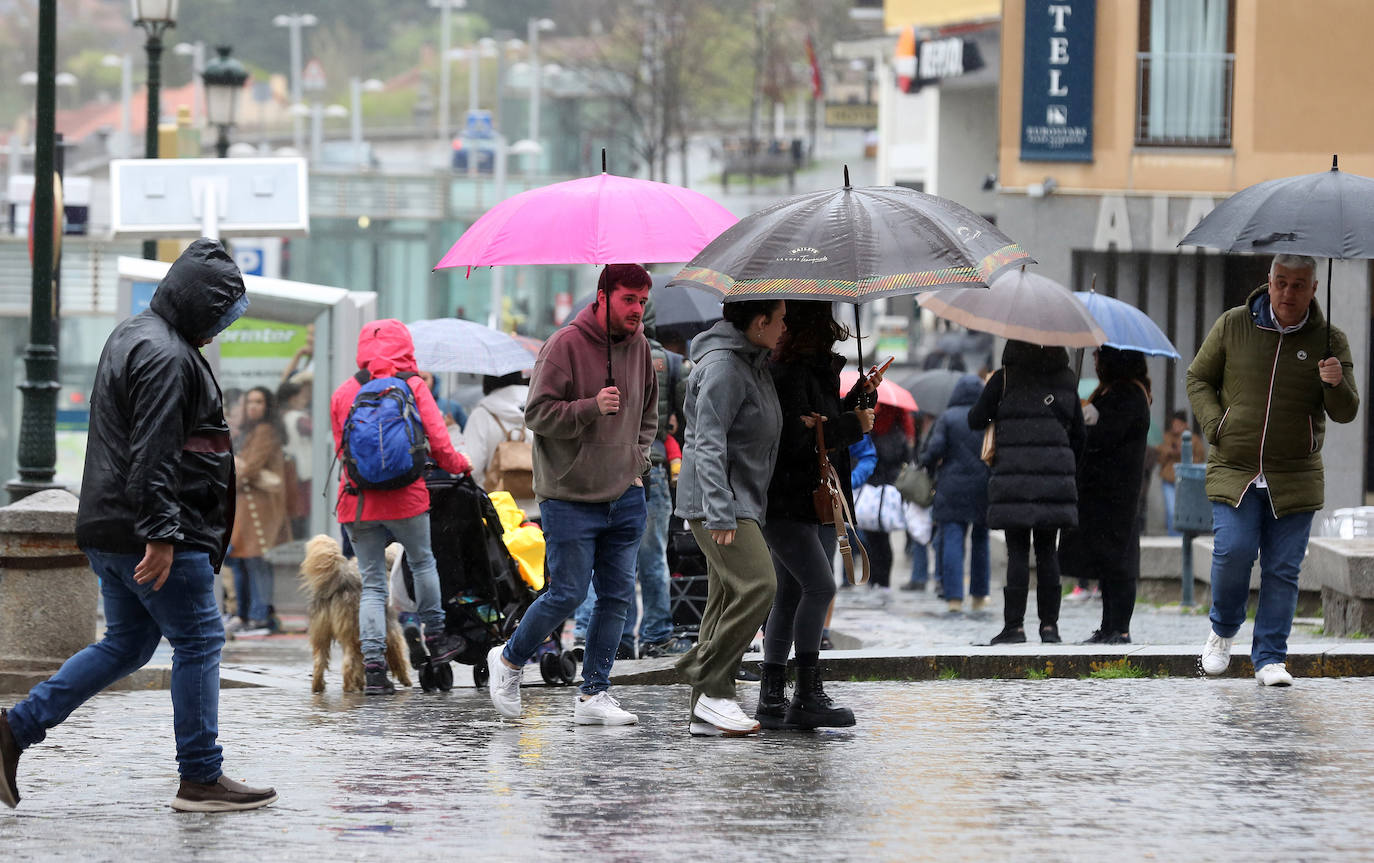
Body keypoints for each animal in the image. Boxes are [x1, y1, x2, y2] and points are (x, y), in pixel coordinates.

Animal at [298, 533, 409, 695]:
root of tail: (340, 582)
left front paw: (362, 682)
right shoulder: (391, 630)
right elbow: (398, 656)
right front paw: (405, 679)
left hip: (322, 634)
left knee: (319, 662)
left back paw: (319, 687)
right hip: (352, 633)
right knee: (348, 663)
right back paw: (350, 688)